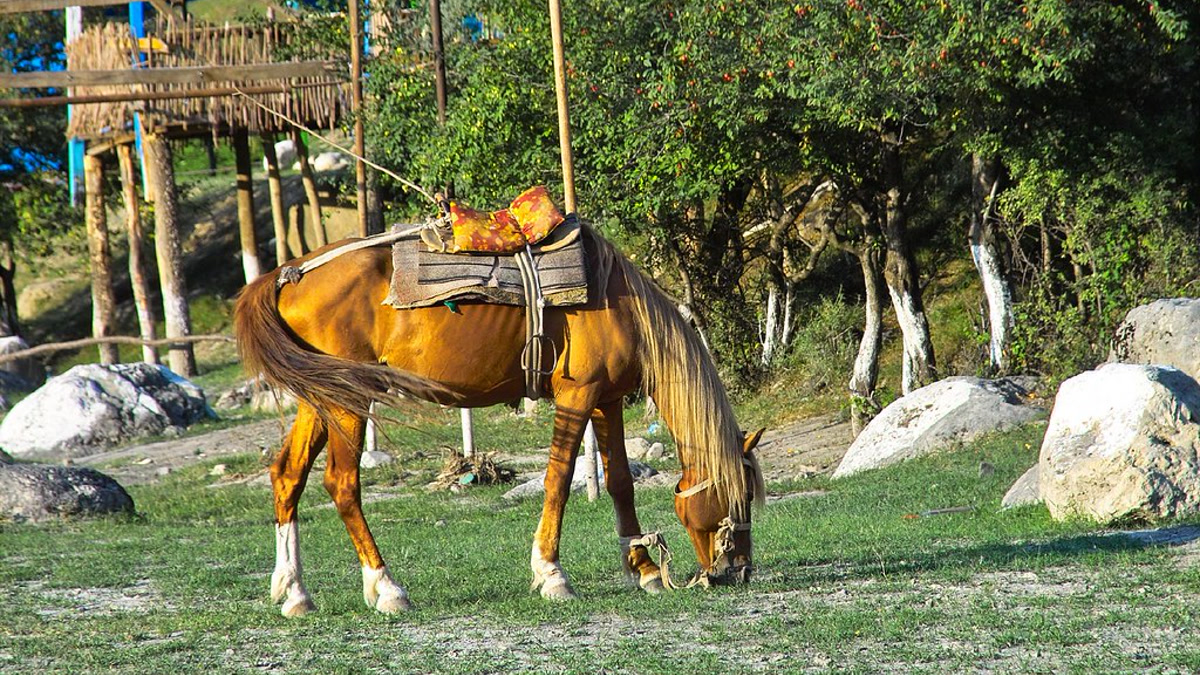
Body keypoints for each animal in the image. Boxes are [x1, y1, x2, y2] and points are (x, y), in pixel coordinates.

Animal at [233, 224, 765, 616]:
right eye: (738, 495)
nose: (739, 569)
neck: (620, 304)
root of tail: (287, 274)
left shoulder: (607, 401)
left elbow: (619, 483)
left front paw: (645, 569)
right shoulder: (576, 397)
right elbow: (558, 481)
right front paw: (552, 575)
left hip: (321, 397)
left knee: (287, 475)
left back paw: (295, 592)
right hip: (349, 398)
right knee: (341, 484)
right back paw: (386, 588)